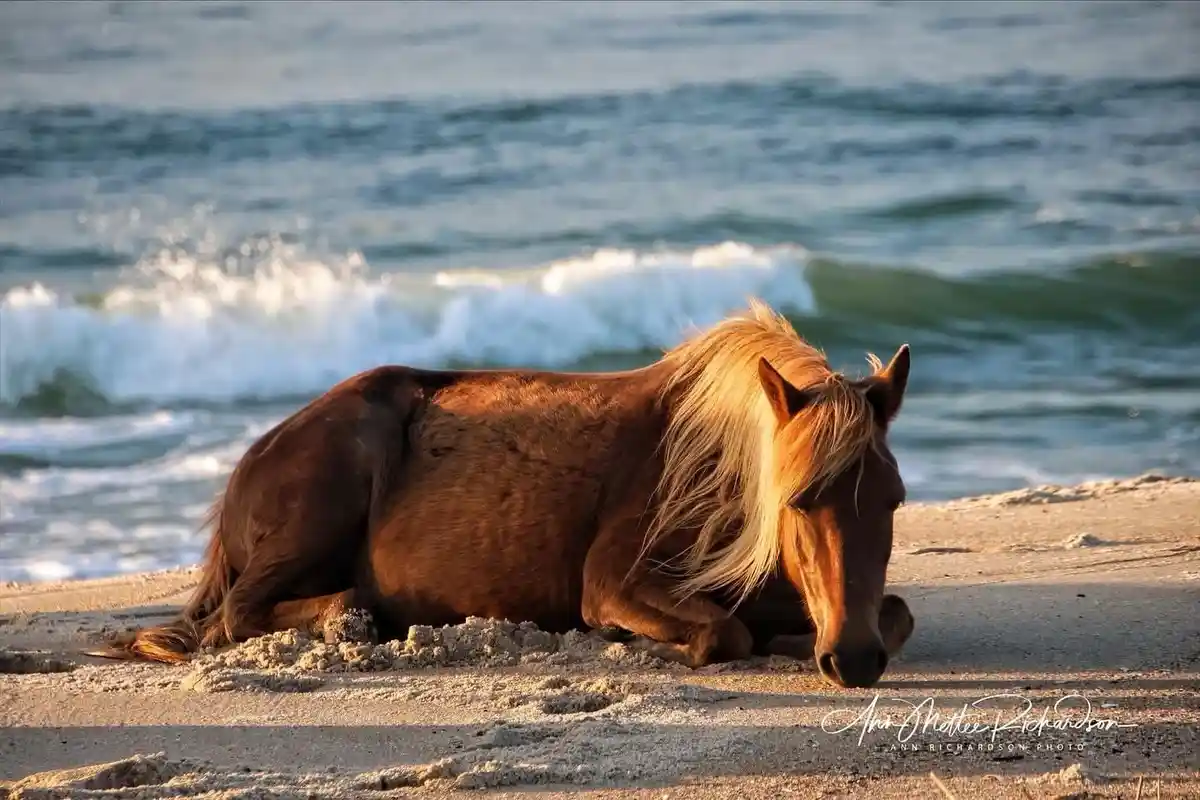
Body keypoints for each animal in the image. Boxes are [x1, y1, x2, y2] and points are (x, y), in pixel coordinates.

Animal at [98, 300, 914, 689]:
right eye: (798, 502)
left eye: (893, 503)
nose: (852, 661)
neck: (720, 461)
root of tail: (254, 456)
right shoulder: (613, 581)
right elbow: (724, 633)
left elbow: (895, 613)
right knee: (239, 615)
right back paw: (348, 619)